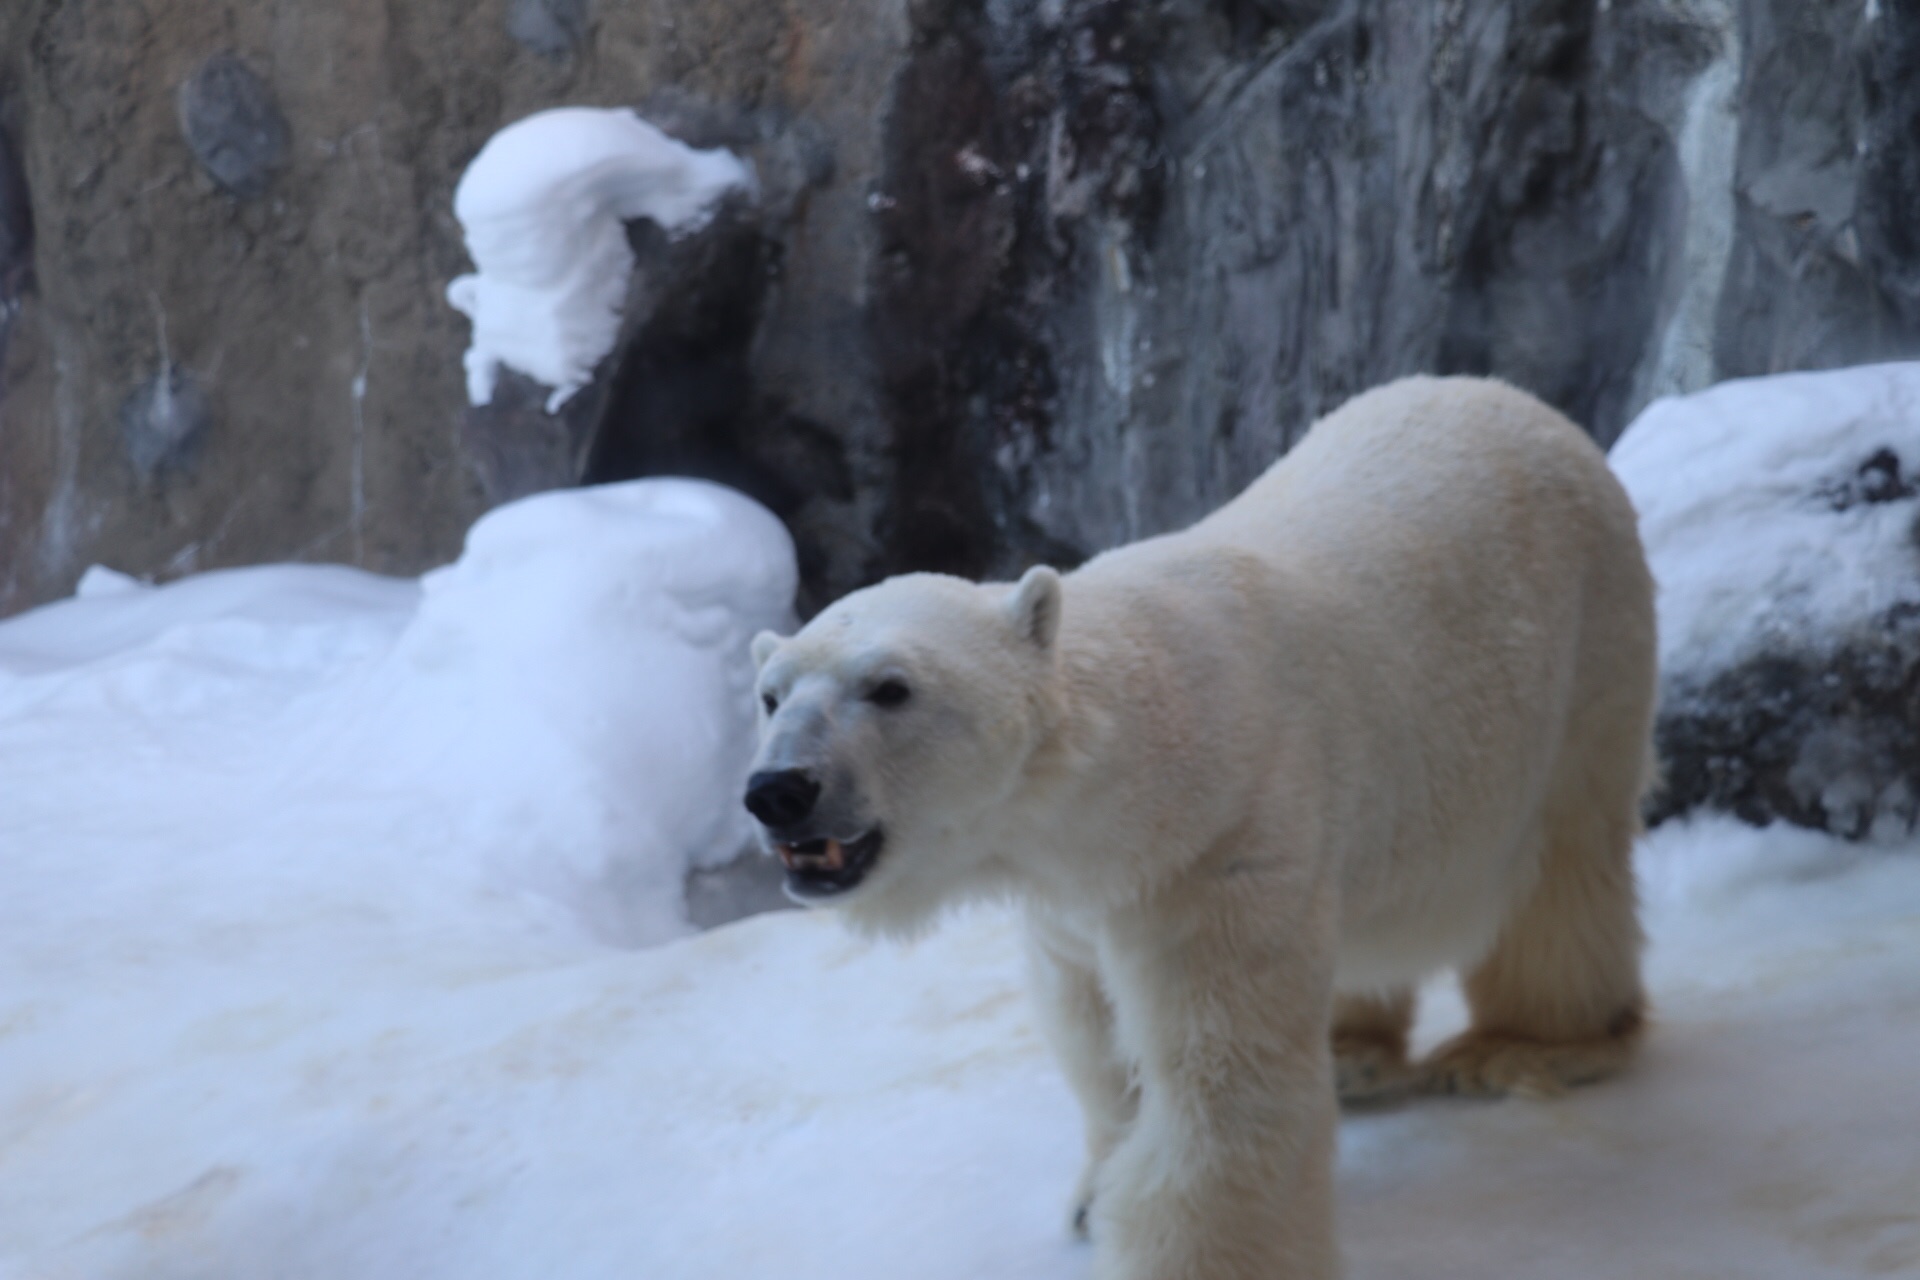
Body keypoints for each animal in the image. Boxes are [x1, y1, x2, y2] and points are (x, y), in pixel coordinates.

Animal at [741, 378, 1658, 1280]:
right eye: (770, 695)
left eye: (890, 688)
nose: (778, 790)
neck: (1139, 772)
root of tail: (1519, 403)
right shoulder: (1073, 901)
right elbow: (1097, 1039)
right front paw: (1093, 1198)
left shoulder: (1219, 850)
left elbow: (1221, 1085)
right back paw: (1355, 1054)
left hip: (1588, 663)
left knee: (1564, 875)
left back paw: (1523, 1047)